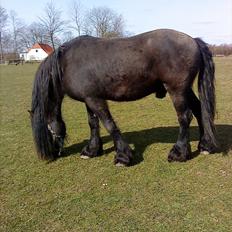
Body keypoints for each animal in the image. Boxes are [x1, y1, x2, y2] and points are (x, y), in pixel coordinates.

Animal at [29, 29, 218, 166]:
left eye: (47, 128)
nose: (51, 154)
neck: (67, 63)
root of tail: (193, 40)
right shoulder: (89, 99)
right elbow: (93, 124)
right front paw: (92, 150)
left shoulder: (96, 100)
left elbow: (109, 124)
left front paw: (122, 156)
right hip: (185, 90)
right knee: (200, 111)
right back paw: (205, 145)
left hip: (177, 90)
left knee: (185, 117)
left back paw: (179, 152)